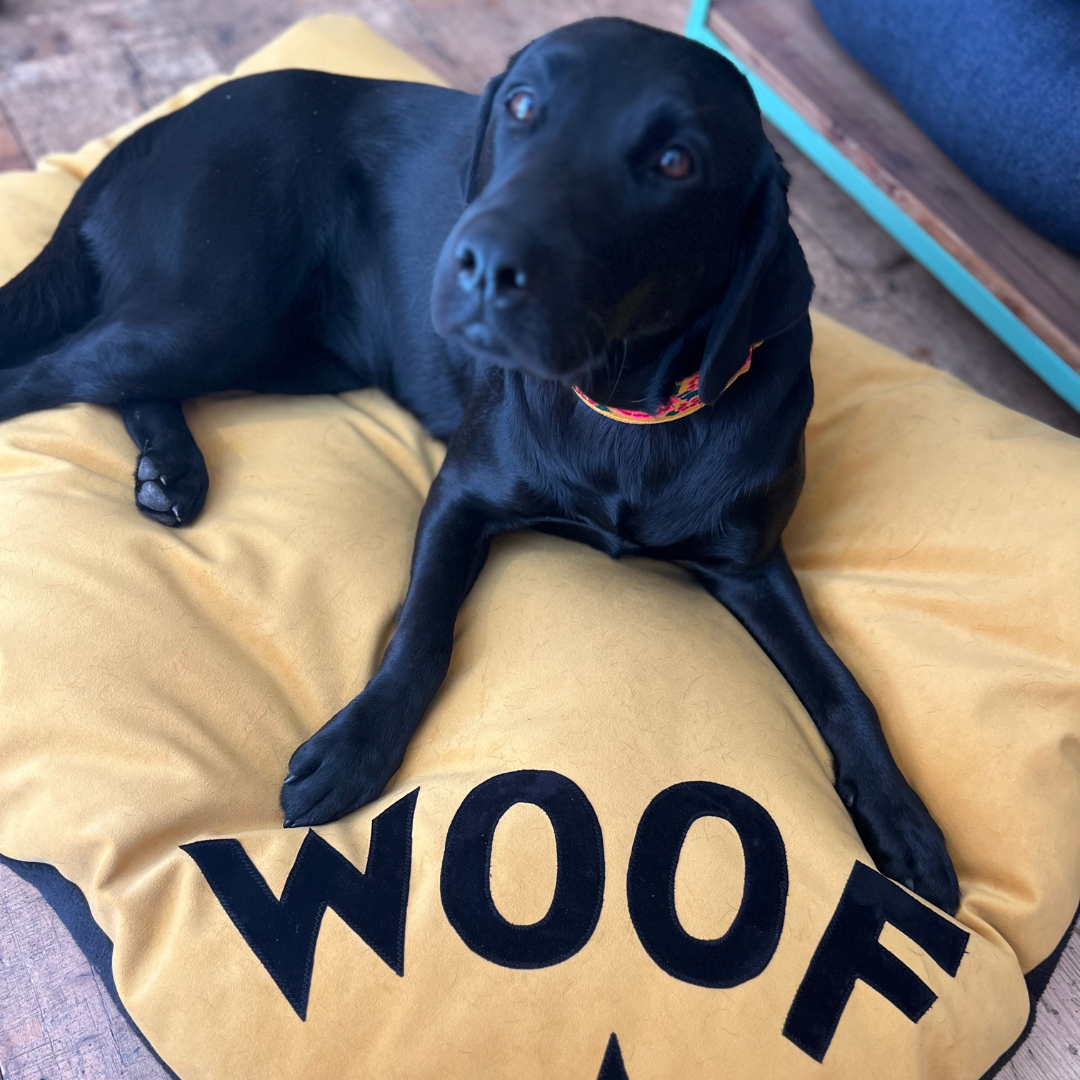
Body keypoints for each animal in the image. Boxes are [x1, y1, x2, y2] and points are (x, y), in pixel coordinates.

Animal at [0, 16, 963, 911]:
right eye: (523, 106)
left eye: (676, 160)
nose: (486, 261)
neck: (624, 409)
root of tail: (160, 124)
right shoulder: (461, 494)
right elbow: (423, 630)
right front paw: (357, 745)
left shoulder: (754, 564)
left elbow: (845, 687)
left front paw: (903, 815)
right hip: (217, 307)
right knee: (53, 370)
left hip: (288, 350)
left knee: (122, 379)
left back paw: (171, 468)